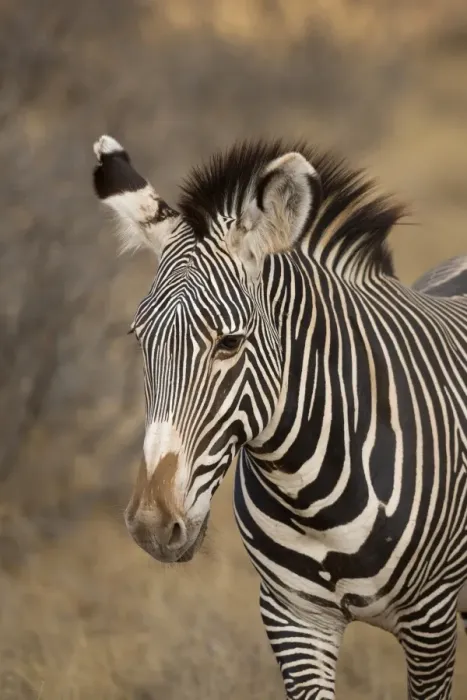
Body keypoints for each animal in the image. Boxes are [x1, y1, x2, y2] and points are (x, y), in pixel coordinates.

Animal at [92, 134, 467, 699]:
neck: (316, 498)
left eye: (229, 343)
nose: (152, 527)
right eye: (140, 340)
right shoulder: (293, 619)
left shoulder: (432, 619)